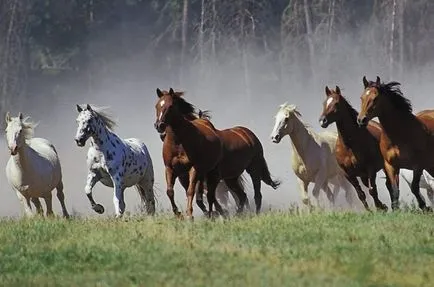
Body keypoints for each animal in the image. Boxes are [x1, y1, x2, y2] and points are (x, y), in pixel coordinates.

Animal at [356, 76, 434, 212]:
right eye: (362, 97)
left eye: (375, 98)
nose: (361, 120)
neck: (398, 136)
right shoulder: (391, 166)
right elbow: (394, 190)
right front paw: (395, 210)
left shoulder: (418, 165)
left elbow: (414, 187)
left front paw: (425, 208)